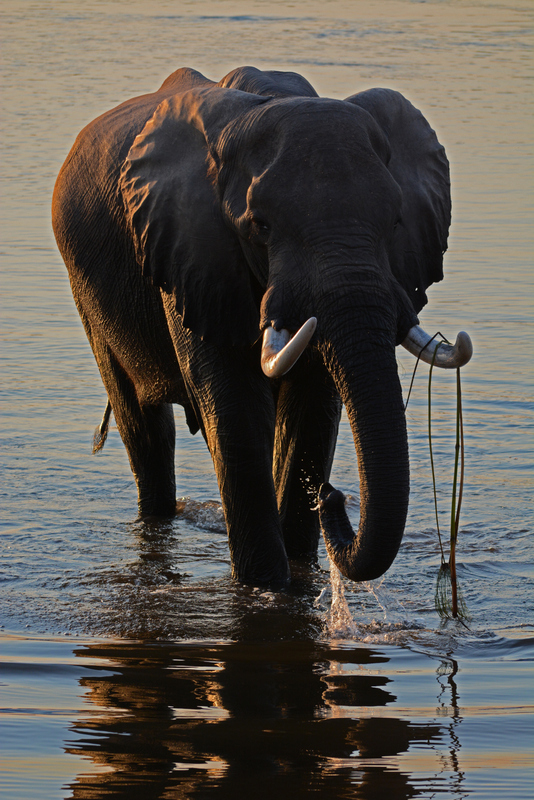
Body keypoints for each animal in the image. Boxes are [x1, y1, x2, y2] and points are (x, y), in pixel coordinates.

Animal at [52, 65, 472, 587]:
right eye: (261, 226)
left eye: (396, 221)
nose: (333, 496)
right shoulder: (193, 250)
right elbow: (234, 404)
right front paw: (265, 587)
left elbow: (311, 408)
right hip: (86, 286)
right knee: (144, 429)